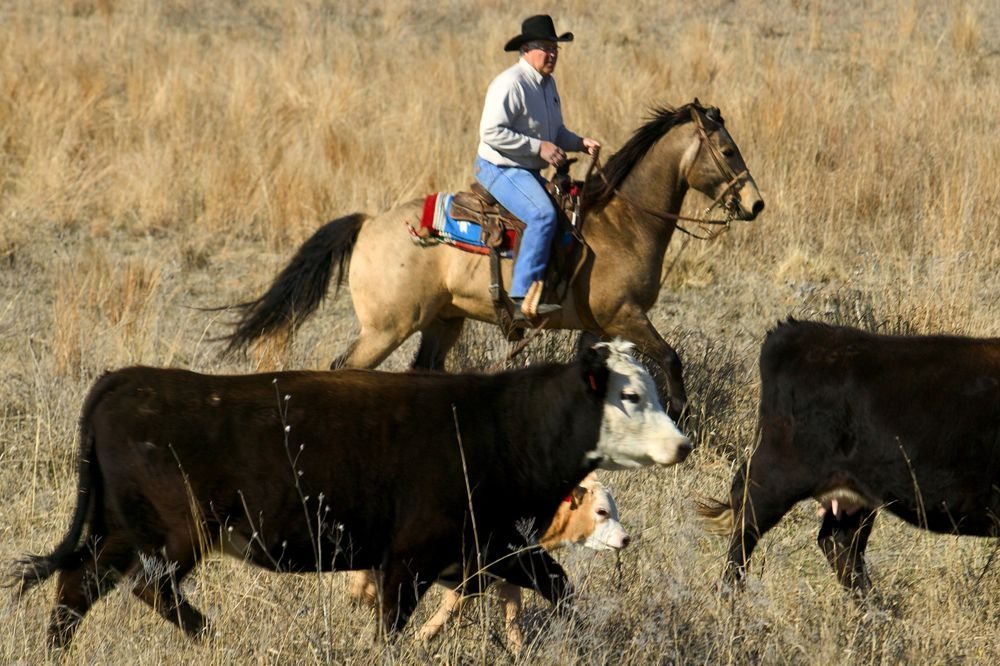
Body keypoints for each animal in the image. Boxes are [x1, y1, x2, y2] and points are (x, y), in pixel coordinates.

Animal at [348, 471, 628, 653]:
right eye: (601, 511)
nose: (625, 538)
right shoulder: (476, 573)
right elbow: (448, 611)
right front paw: (419, 641)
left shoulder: (511, 568)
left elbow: (514, 613)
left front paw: (518, 651)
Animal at [699, 319, 1000, 594]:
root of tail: (794, 331)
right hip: (777, 478)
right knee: (746, 527)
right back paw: (730, 596)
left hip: (854, 493)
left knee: (839, 543)